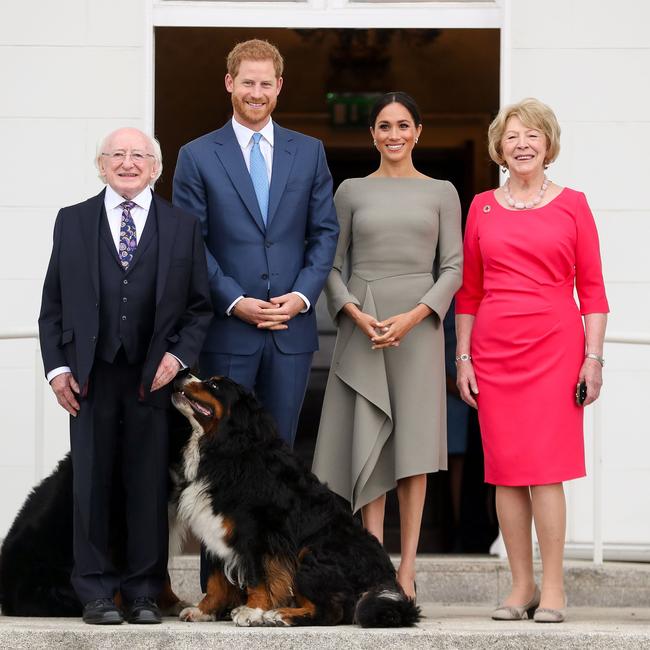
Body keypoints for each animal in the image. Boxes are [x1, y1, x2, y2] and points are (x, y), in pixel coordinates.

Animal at [170, 374, 418, 628]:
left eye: (214, 385)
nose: (183, 373)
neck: (227, 448)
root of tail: (384, 579)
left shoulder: (256, 532)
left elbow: (257, 576)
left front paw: (253, 610)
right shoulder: (217, 528)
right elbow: (215, 579)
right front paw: (203, 610)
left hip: (310, 553)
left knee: (330, 612)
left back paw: (281, 615)